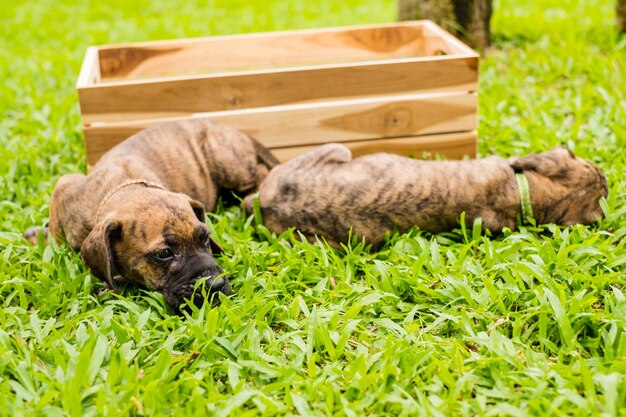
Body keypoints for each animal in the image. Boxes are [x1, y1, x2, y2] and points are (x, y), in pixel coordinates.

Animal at [26, 118, 276, 310]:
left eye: (205, 238)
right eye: (164, 254)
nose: (216, 285)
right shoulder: (64, 187)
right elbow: (57, 233)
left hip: (228, 162)